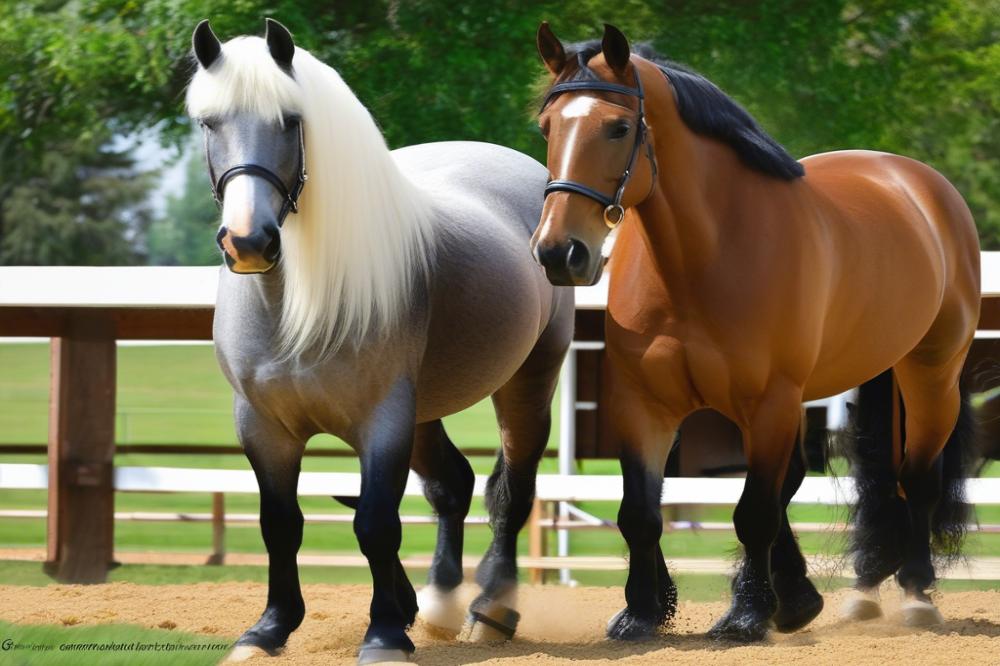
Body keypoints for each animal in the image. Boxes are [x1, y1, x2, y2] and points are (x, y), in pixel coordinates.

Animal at [189, 18, 572, 660]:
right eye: (208, 122)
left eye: (290, 121)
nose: (248, 241)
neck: (293, 304)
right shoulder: (263, 425)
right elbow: (280, 524)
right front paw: (269, 629)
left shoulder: (383, 419)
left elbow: (374, 522)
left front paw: (385, 634)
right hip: (424, 412)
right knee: (451, 485)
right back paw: (437, 603)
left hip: (527, 381)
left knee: (510, 492)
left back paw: (491, 610)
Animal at [536, 23, 980, 640]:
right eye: (547, 127)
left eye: (619, 127)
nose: (560, 252)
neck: (702, 255)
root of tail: (920, 183)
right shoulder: (643, 405)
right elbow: (640, 513)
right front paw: (643, 611)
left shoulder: (768, 402)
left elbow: (753, 512)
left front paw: (746, 613)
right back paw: (827, 596)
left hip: (930, 371)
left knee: (916, 478)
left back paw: (915, 594)